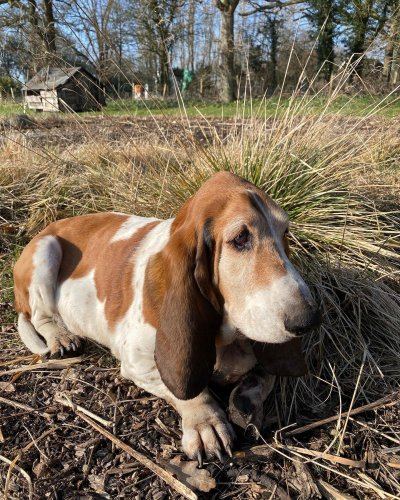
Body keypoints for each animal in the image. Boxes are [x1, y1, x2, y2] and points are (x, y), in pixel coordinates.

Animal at [13, 172, 318, 460]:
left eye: (285, 231)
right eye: (240, 238)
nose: (309, 319)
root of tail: (49, 226)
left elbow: (265, 375)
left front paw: (245, 402)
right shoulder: (138, 362)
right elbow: (188, 390)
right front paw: (206, 423)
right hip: (46, 251)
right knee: (40, 316)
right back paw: (61, 337)